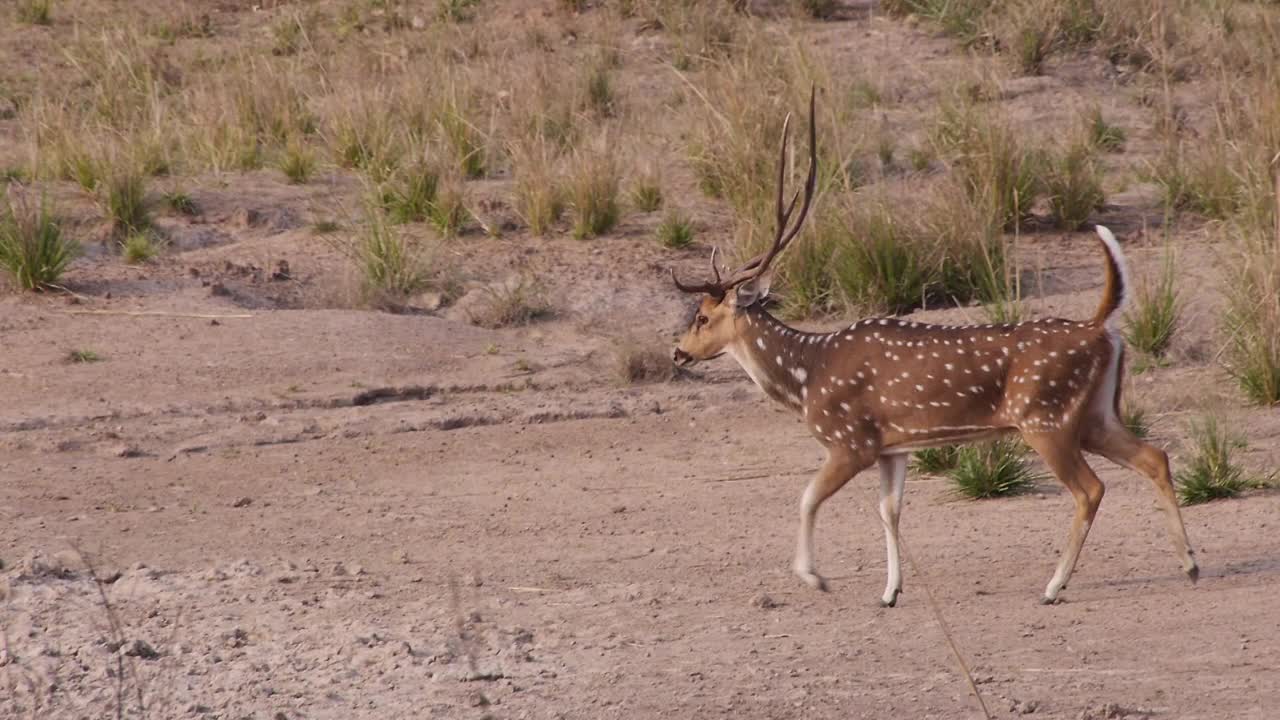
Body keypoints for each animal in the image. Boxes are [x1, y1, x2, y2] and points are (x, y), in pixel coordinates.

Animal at [670, 90, 1198, 604]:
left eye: (701, 316)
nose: (677, 352)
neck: (805, 377)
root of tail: (1100, 327)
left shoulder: (850, 441)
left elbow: (807, 497)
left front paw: (814, 578)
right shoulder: (892, 447)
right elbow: (889, 511)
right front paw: (889, 591)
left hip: (1046, 419)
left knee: (1091, 488)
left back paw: (1053, 586)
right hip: (1096, 414)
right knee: (1155, 456)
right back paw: (1189, 563)